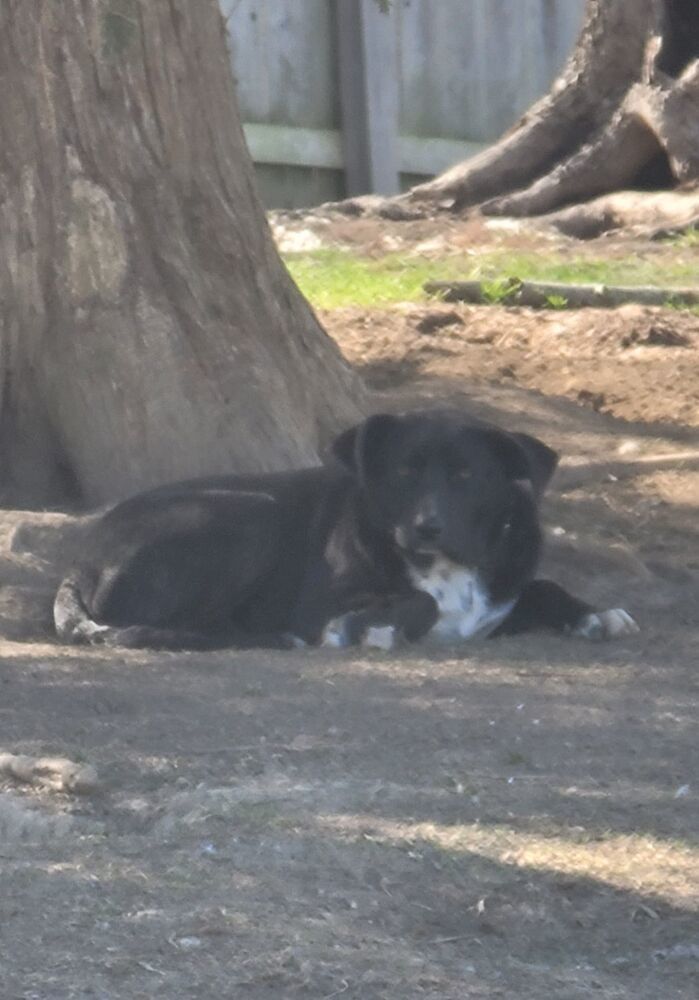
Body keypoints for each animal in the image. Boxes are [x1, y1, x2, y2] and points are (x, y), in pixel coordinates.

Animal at [53, 406, 640, 648]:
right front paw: (370, 628)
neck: (445, 567)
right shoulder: (316, 601)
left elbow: (543, 586)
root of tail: (80, 562)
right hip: (248, 516)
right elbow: (417, 603)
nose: (426, 528)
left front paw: (596, 615)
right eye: (405, 471)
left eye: (465, 476)